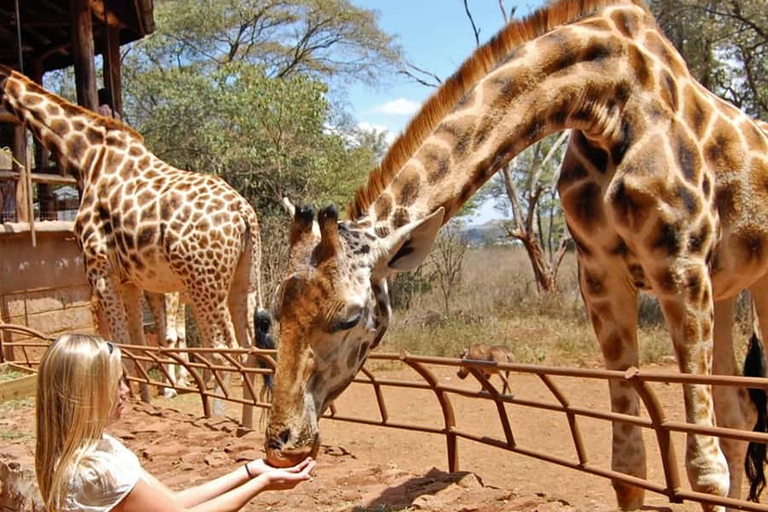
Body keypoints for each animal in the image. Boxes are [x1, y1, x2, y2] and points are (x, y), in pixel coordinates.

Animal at [0, 65, 264, 425]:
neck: (86, 158)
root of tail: (243, 211)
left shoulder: (99, 270)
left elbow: (120, 344)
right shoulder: (130, 280)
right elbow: (139, 343)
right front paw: (144, 400)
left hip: (203, 282)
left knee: (223, 351)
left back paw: (218, 419)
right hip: (243, 279)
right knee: (249, 348)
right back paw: (245, 425)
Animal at [264, 0, 768, 510]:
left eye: (349, 317)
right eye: (276, 312)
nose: (282, 443)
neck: (607, 102)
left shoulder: (680, 266)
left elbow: (704, 469)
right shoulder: (601, 279)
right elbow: (628, 466)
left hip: (751, 284)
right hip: (726, 287)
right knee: (739, 413)